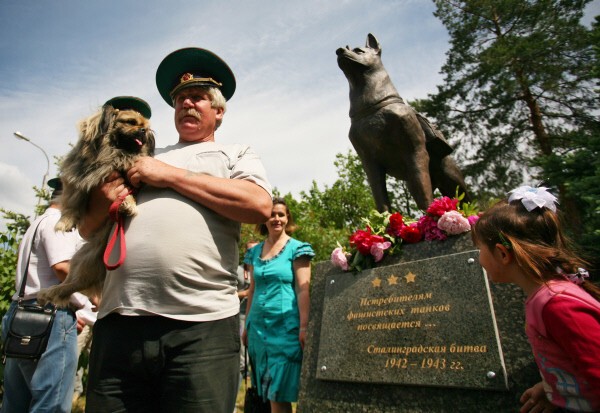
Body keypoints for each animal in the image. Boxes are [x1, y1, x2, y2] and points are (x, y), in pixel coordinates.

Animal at [37, 96, 155, 306]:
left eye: (146, 128)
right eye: (131, 122)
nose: (143, 131)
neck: (115, 154)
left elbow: (127, 192)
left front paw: (129, 204)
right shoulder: (77, 178)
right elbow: (74, 202)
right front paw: (65, 221)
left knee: (75, 284)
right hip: (84, 258)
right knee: (71, 283)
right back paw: (50, 292)